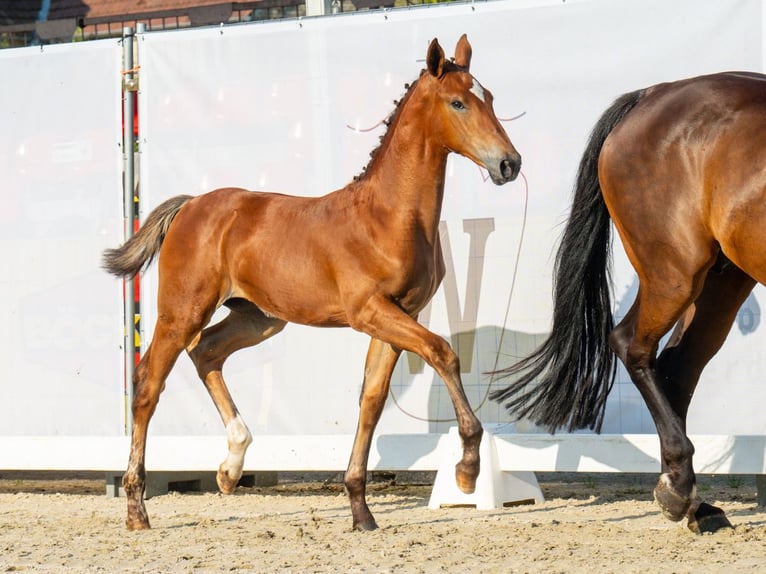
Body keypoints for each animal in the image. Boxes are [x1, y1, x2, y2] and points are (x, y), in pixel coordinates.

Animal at [103, 35, 520, 532]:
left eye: (490, 98)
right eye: (458, 102)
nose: (509, 163)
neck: (388, 216)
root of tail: (191, 205)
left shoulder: (401, 313)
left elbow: (372, 398)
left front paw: (360, 510)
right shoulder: (370, 311)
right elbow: (443, 352)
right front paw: (467, 469)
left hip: (259, 318)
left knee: (207, 352)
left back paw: (230, 467)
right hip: (182, 311)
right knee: (149, 383)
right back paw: (137, 509)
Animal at [496, 71, 764, 536]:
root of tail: (653, 94)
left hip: (723, 276)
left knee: (679, 365)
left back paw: (692, 501)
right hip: (674, 272)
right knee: (634, 346)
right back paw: (679, 490)